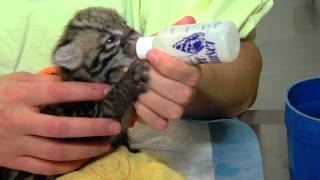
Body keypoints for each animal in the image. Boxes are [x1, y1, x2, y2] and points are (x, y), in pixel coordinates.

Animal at [0, 7, 150, 180]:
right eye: (111, 39)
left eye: (124, 23)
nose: (134, 34)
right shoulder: (95, 121)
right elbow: (115, 98)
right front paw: (132, 77)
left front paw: (131, 147)